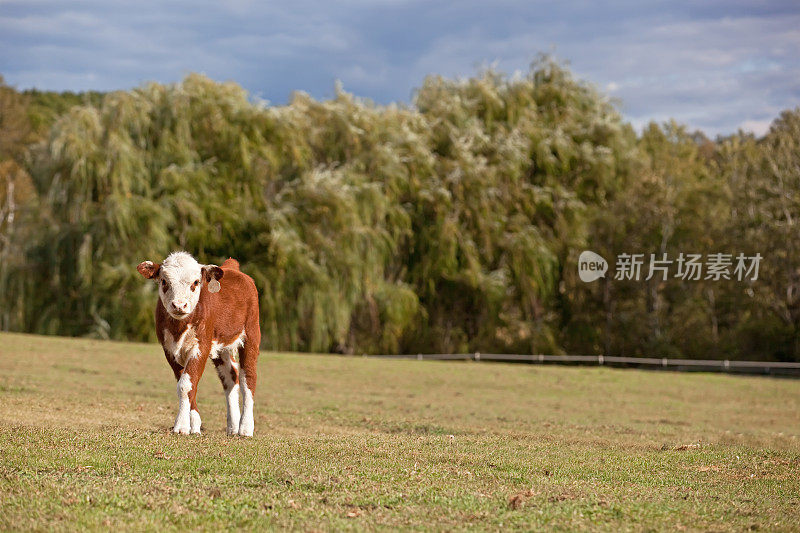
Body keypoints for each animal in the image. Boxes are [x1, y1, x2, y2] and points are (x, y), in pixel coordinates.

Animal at [137, 251, 260, 434]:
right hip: (221, 347)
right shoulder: (169, 350)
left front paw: (181, 426)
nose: (179, 305)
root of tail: (232, 267)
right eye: (164, 281)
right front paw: (193, 424)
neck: (179, 327)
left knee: (248, 378)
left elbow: (186, 384)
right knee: (231, 377)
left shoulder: (201, 346)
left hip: (252, 334)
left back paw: (245, 428)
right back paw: (233, 426)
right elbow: (186, 383)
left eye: (195, 282)